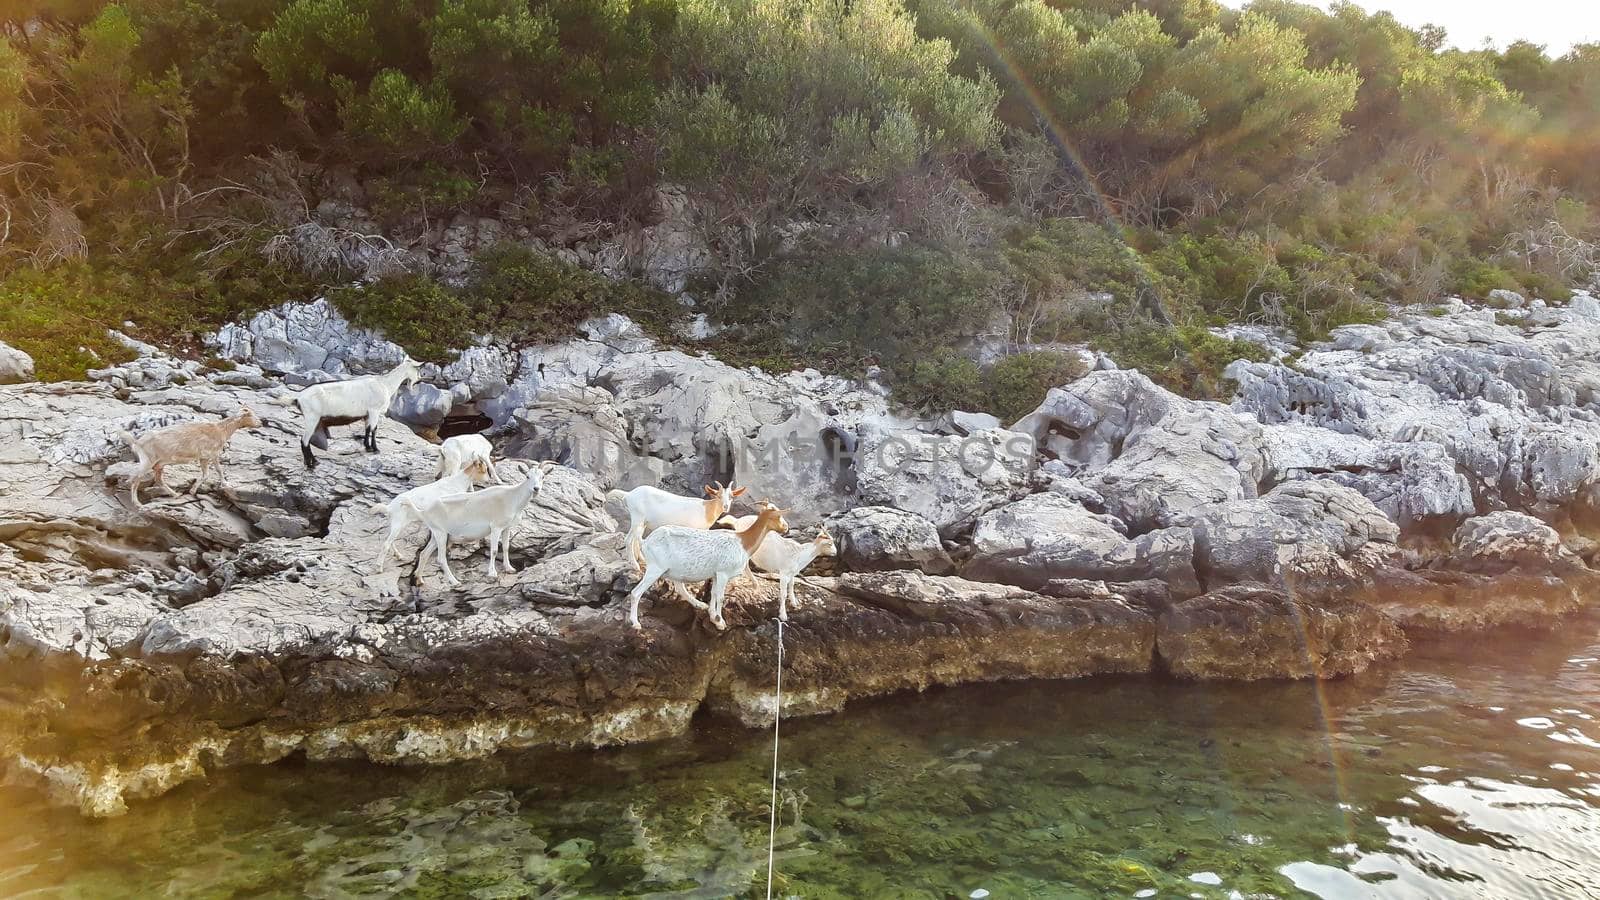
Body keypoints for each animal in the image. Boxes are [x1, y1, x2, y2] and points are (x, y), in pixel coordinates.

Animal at [118, 406, 262, 506]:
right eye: (250, 414)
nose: (260, 423)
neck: (221, 430)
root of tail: (137, 442)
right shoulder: (211, 455)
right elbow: (217, 471)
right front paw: (224, 484)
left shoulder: (203, 458)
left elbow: (207, 474)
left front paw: (192, 490)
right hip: (148, 461)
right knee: (135, 479)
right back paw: (137, 503)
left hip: (159, 465)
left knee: (158, 480)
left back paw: (175, 494)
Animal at [284, 357, 419, 470]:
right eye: (418, 369)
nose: (419, 379)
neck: (385, 384)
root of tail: (298, 397)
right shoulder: (374, 411)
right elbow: (374, 429)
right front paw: (375, 449)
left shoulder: (367, 414)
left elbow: (367, 429)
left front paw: (367, 447)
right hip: (312, 418)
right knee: (304, 440)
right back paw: (310, 464)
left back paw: (314, 462)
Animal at [412, 464, 550, 586]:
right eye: (527, 476)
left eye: (543, 476)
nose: (536, 488)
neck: (512, 497)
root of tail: (424, 511)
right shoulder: (496, 528)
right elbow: (494, 550)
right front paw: (492, 573)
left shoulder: (506, 528)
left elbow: (506, 547)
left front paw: (509, 569)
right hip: (440, 534)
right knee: (440, 559)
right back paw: (455, 582)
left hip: (438, 535)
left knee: (424, 554)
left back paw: (419, 580)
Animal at [608, 480, 745, 570]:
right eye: (718, 496)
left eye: (731, 497)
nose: (726, 507)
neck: (707, 509)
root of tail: (628, 495)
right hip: (637, 518)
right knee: (628, 539)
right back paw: (635, 565)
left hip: (643, 522)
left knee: (636, 538)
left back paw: (641, 559)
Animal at [624, 499, 787, 627]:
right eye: (778, 516)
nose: (785, 528)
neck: (743, 542)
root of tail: (646, 541)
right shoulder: (723, 573)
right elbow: (721, 597)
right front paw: (720, 621)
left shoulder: (715, 574)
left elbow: (713, 594)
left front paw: (713, 617)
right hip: (655, 568)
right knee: (636, 593)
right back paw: (635, 623)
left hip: (673, 570)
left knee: (679, 588)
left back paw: (700, 604)